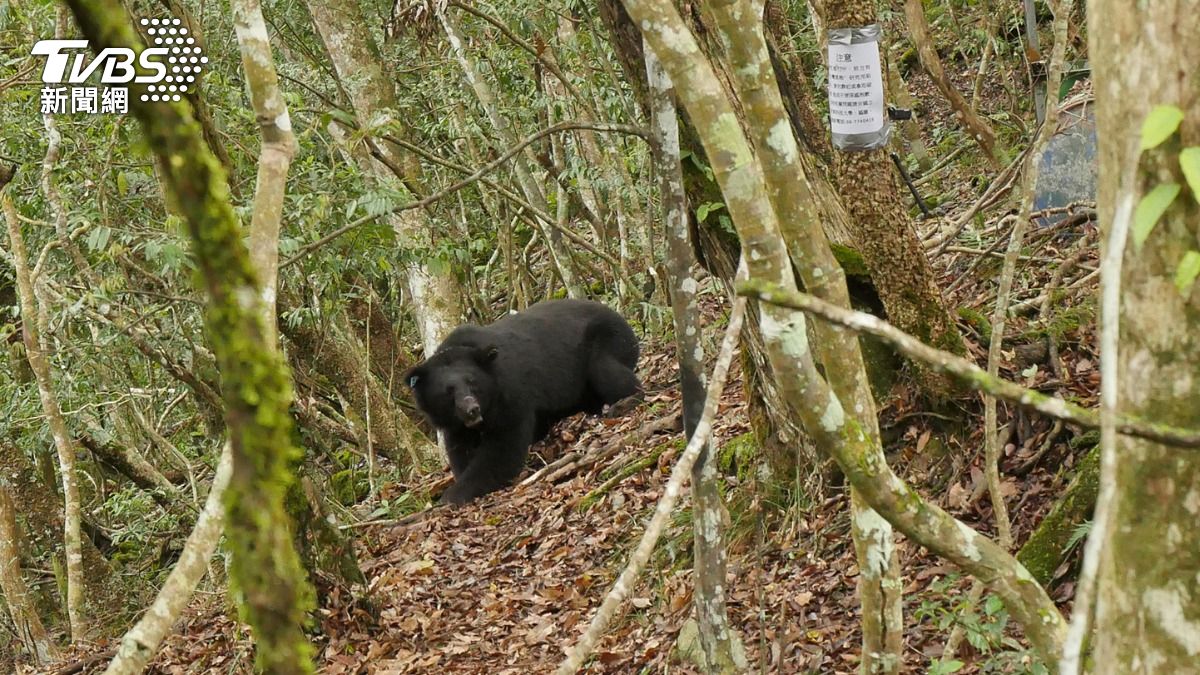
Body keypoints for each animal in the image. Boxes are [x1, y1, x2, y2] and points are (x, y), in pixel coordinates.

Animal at [404, 299, 640, 505]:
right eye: (448, 391)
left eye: (473, 383)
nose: (472, 410)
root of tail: (621, 318)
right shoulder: (455, 424)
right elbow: (461, 450)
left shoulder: (510, 394)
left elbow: (502, 447)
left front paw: (453, 495)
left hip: (607, 340)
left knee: (608, 371)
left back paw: (623, 403)